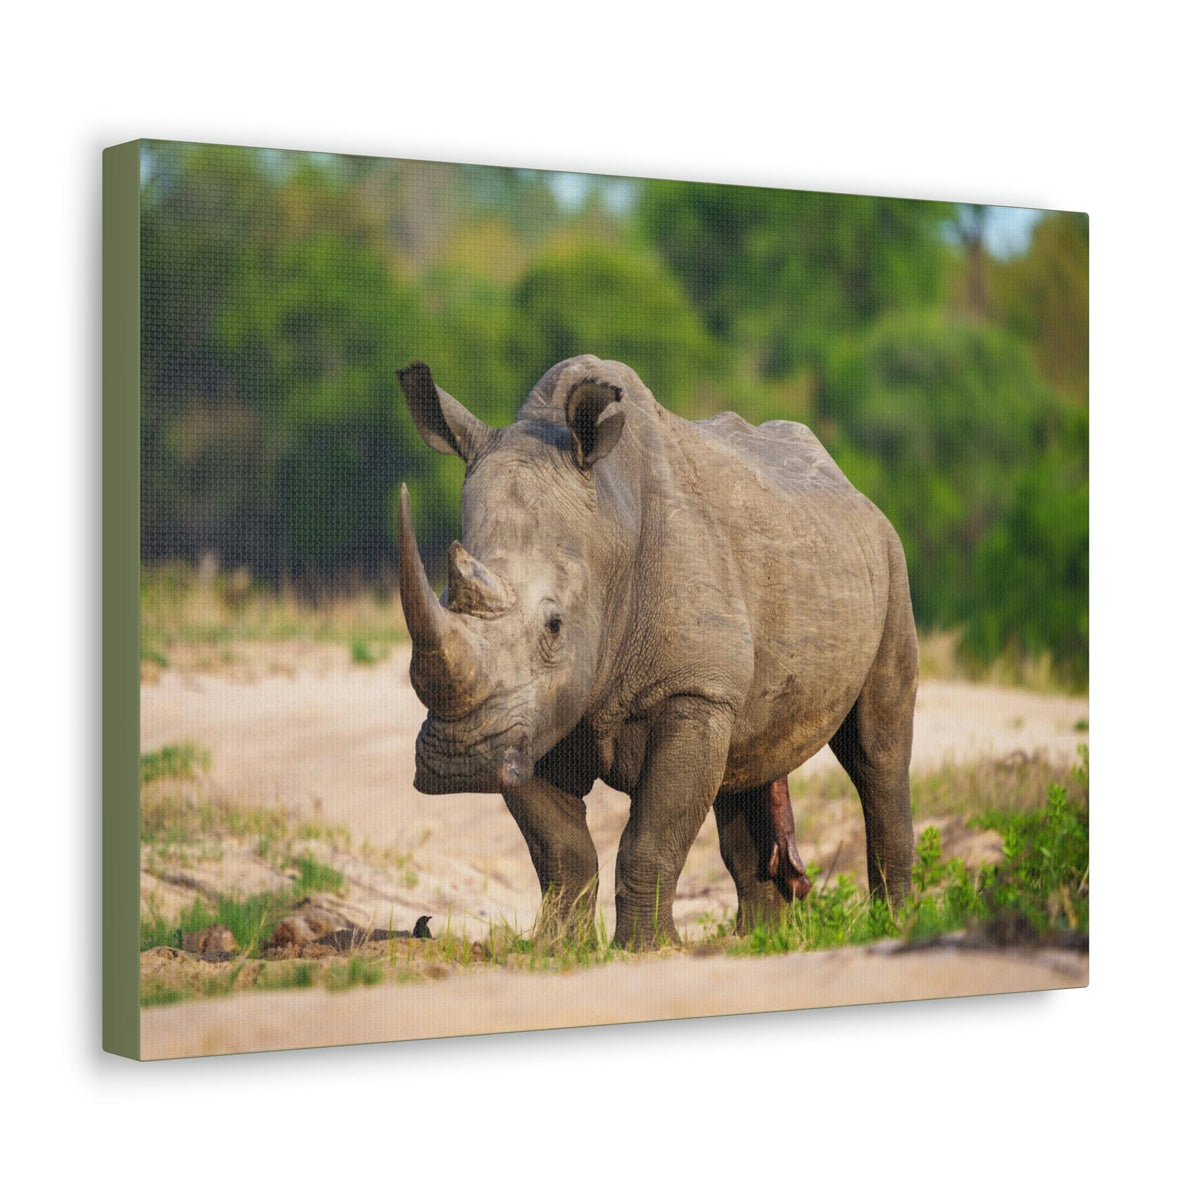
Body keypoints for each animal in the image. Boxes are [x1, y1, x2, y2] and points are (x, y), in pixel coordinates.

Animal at [396, 355, 917, 948]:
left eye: (554, 626)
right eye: (444, 600)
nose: (459, 761)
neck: (609, 529)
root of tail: (849, 486)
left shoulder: (692, 690)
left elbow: (652, 834)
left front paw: (646, 948)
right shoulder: (525, 717)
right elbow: (560, 849)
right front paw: (558, 948)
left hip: (889, 558)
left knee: (878, 752)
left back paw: (895, 923)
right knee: (747, 762)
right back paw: (756, 942)